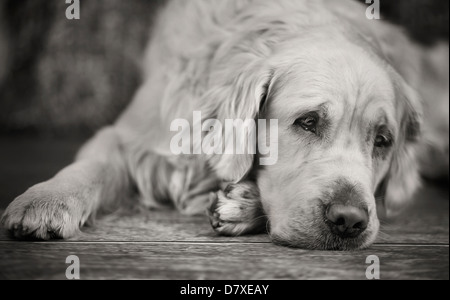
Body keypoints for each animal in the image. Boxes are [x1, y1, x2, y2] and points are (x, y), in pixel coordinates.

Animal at [1, 0, 448, 250]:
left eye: (382, 140)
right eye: (308, 122)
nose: (350, 221)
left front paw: (242, 204)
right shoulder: (132, 136)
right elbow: (92, 166)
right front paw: (45, 201)